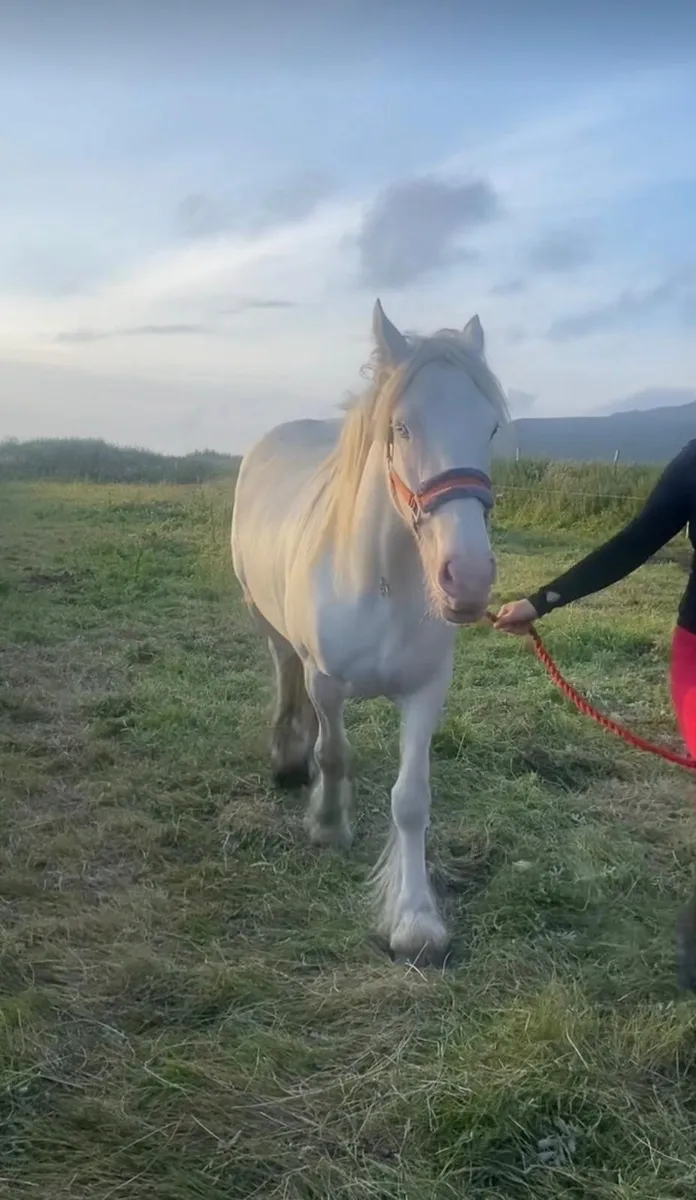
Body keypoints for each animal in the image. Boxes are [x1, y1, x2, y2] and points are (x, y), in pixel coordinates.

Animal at [231, 300, 510, 965]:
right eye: (402, 428)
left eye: (490, 428)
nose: (468, 577)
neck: (385, 583)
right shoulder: (328, 681)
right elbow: (335, 753)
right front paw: (328, 824)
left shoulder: (427, 691)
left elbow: (411, 799)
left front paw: (415, 918)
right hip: (270, 626)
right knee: (286, 675)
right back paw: (290, 756)